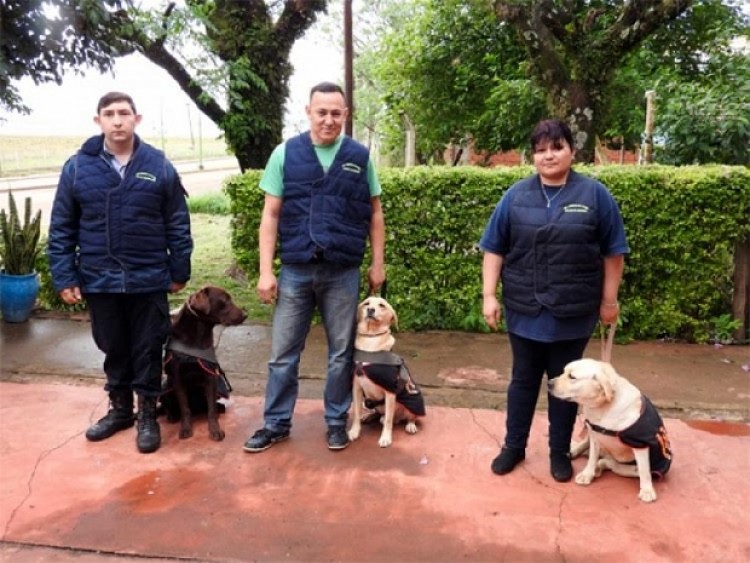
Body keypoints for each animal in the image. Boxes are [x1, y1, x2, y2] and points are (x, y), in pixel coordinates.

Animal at [161, 285, 246, 441]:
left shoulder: (210, 376)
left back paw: (219, 408)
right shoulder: (178, 378)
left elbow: (211, 409)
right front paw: (185, 428)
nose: (245, 315)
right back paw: (172, 416)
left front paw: (215, 430)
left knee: (210, 406)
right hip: (165, 387)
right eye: (225, 300)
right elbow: (185, 408)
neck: (198, 333)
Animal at [347, 296, 426, 448]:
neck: (371, 339)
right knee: (379, 414)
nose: (370, 310)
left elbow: (388, 420)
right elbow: (356, 413)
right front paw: (354, 431)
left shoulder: (390, 391)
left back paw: (410, 425)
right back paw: (369, 416)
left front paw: (385, 438)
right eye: (366, 303)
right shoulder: (357, 388)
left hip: (413, 403)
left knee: (408, 417)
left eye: (382, 305)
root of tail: (399, 419)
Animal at [549, 358, 672, 502]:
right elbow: (592, 458)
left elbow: (644, 471)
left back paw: (598, 468)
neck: (603, 406)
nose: (549, 383)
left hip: (630, 468)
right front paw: (587, 474)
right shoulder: (594, 435)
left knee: (610, 463)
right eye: (563, 372)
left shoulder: (640, 445)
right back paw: (576, 452)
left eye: (572, 377)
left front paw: (647, 490)